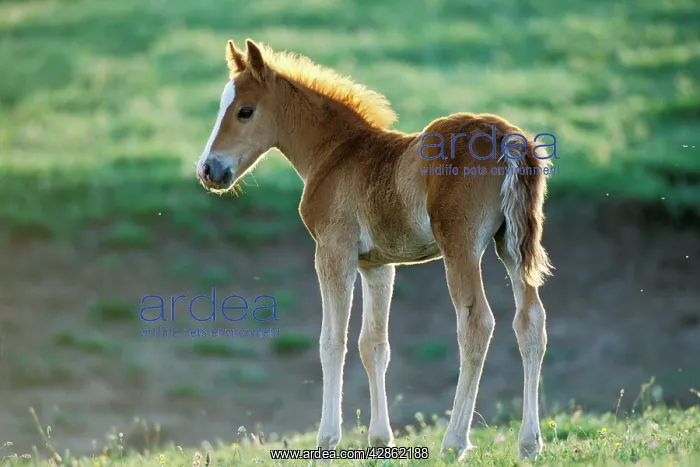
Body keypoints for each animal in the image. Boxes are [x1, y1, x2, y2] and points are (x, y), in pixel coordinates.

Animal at [195, 38, 553, 461]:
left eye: (245, 110)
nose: (208, 170)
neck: (335, 153)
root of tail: (506, 138)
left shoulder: (334, 251)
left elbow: (333, 341)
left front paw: (327, 439)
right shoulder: (378, 265)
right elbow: (374, 345)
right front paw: (381, 440)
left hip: (460, 246)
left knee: (476, 324)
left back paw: (454, 442)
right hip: (512, 246)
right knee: (530, 322)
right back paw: (529, 443)